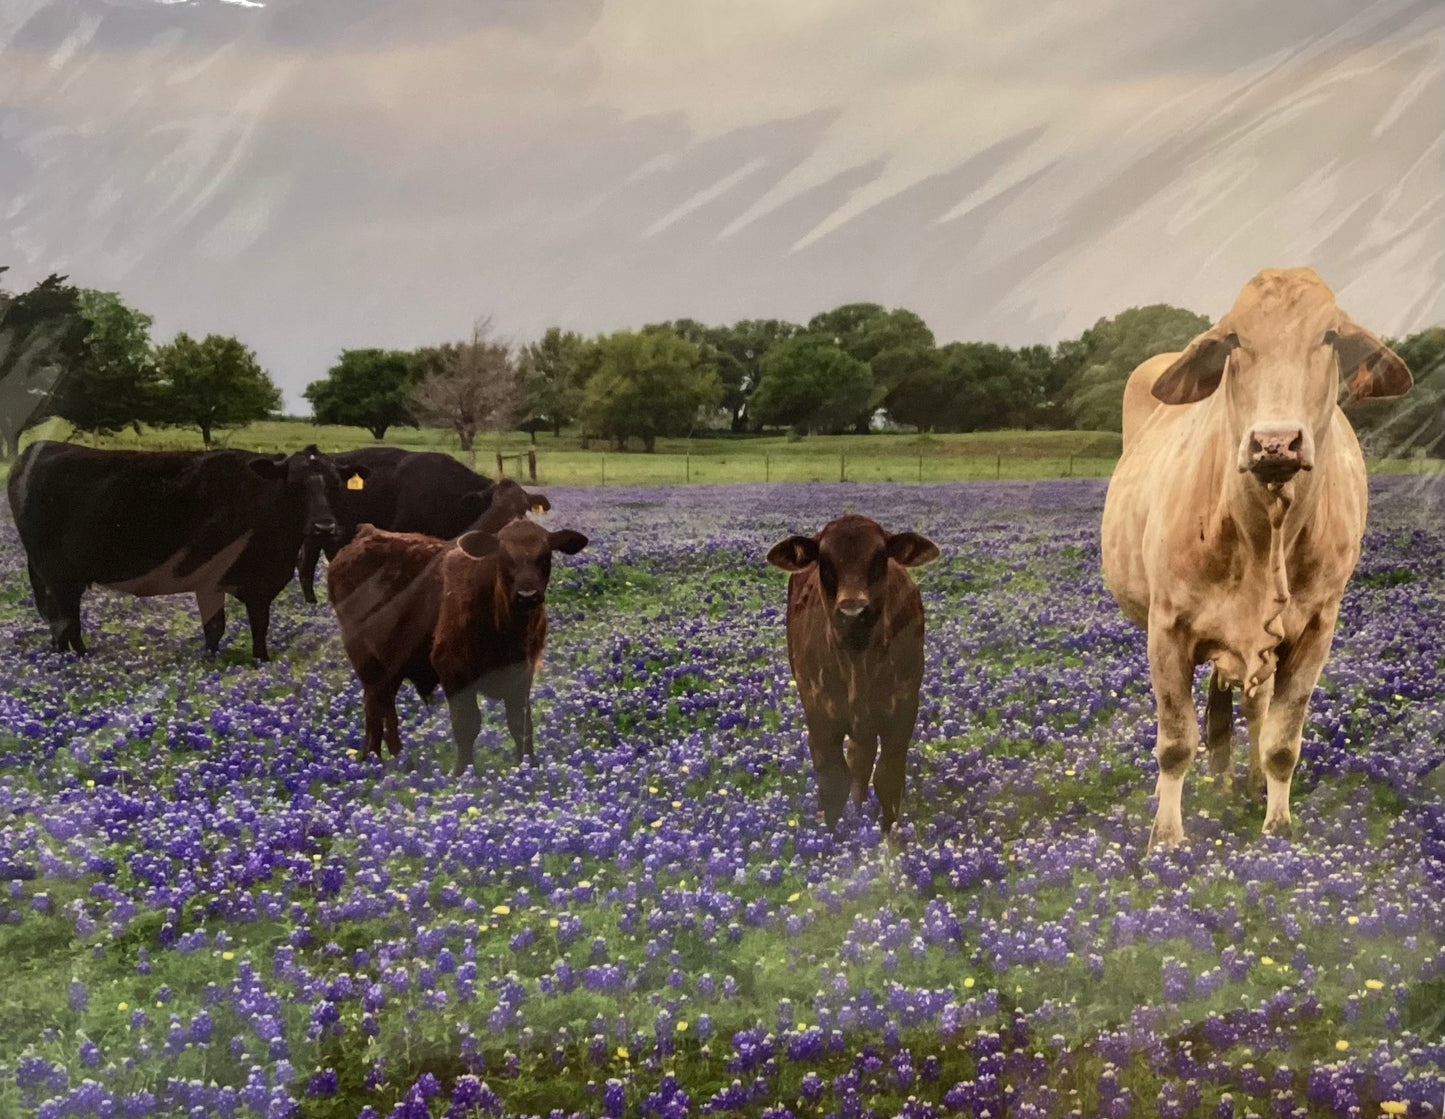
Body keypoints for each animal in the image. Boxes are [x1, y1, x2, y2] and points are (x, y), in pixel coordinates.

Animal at [6, 441, 366, 661]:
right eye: (294, 483)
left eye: (336, 484)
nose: (323, 527)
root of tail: (40, 447)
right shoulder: (210, 580)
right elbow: (215, 627)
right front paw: (210, 661)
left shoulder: (259, 585)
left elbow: (259, 625)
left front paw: (261, 659)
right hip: (56, 574)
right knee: (65, 619)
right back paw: (79, 657)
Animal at [326, 479, 585, 773]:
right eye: (504, 556)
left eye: (545, 555)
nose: (527, 595)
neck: (506, 626)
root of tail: (365, 532)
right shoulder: (452, 668)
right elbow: (466, 724)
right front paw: (463, 772)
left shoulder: (523, 669)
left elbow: (521, 723)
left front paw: (528, 764)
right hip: (362, 654)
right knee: (376, 705)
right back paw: (382, 759)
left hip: (391, 661)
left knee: (381, 705)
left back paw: (383, 757)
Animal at [767, 515, 940, 835]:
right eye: (824, 560)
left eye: (880, 556)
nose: (853, 610)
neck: (857, 659)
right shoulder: (820, 717)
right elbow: (834, 783)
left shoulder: (902, 711)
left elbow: (887, 778)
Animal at [1101, 268, 1413, 847]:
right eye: (1233, 341)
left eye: (1329, 336)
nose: (1275, 443)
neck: (1260, 535)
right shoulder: (1166, 627)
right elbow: (1175, 741)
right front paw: (1166, 840)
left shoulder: (1314, 630)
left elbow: (1281, 741)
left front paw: (1277, 827)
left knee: (1250, 709)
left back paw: (1242, 782)